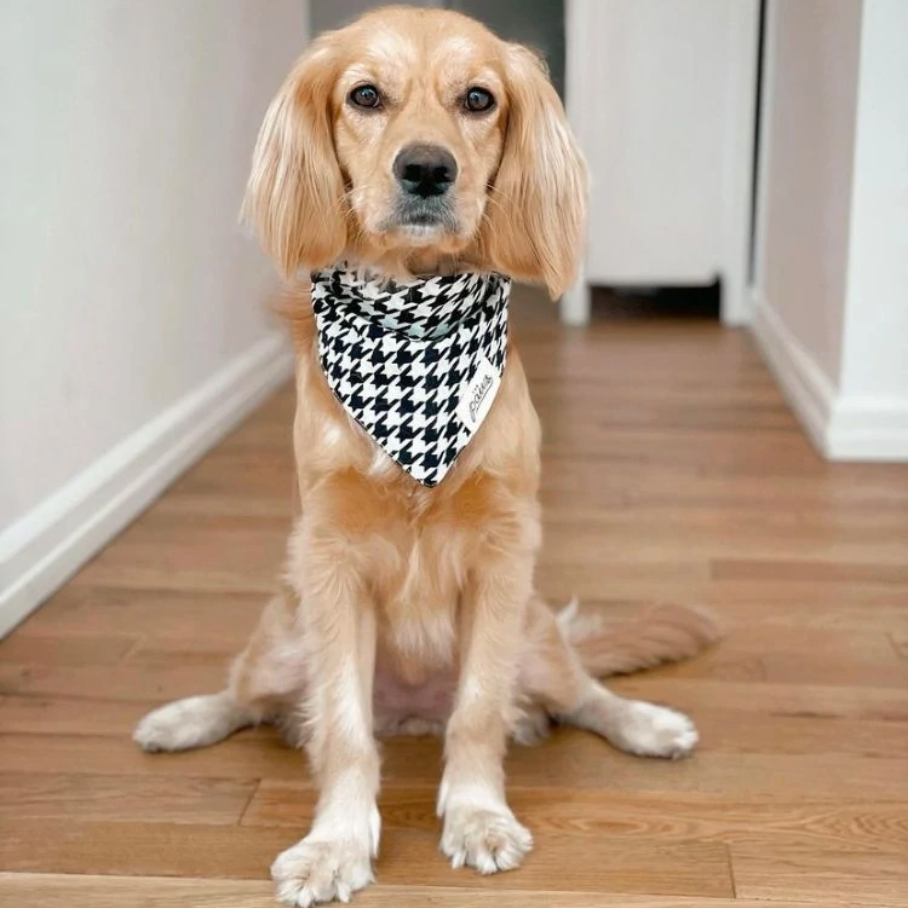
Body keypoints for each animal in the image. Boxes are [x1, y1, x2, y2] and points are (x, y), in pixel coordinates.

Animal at [135, 8, 716, 908]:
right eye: (365, 95)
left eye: (478, 99)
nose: (427, 169)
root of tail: (409, 711)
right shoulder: (331, 558)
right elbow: (341, 728)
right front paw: (336, 845)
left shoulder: (505, 553)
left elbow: (478, 711)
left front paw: (478, 816)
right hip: (281, 639)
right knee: (245, 695)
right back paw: (181, 719)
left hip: (537, 637)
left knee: (583, 689)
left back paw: (646, 724)